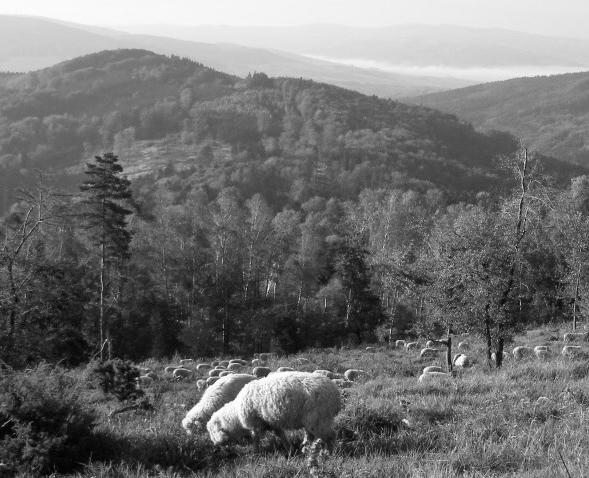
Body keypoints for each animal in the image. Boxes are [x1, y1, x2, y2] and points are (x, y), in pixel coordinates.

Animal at [207, 372, 340, 454]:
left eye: (212, 432)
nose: (214, 445)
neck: (236, 416)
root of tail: (335, 392)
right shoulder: (272, 423)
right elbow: (281, 435)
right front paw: (289, 449)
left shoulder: (256, 424)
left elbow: (255, 438)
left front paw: (256, 451)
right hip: (312, 419)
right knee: (311, 435)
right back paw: (305, 447)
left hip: (318, 418)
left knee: (331, 435)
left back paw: (329, 453)